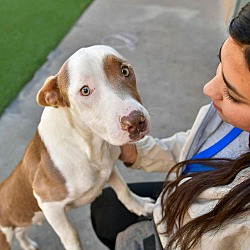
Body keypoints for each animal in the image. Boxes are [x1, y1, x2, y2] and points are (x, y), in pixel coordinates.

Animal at [0, 45, 154, 250]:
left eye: (125, 71)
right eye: (85, 90)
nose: (135, 121)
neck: (89, 145)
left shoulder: (108, 168)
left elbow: (123, 190)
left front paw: (140, 206)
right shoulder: (48, 203)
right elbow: (71, 235)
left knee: (20, 232)